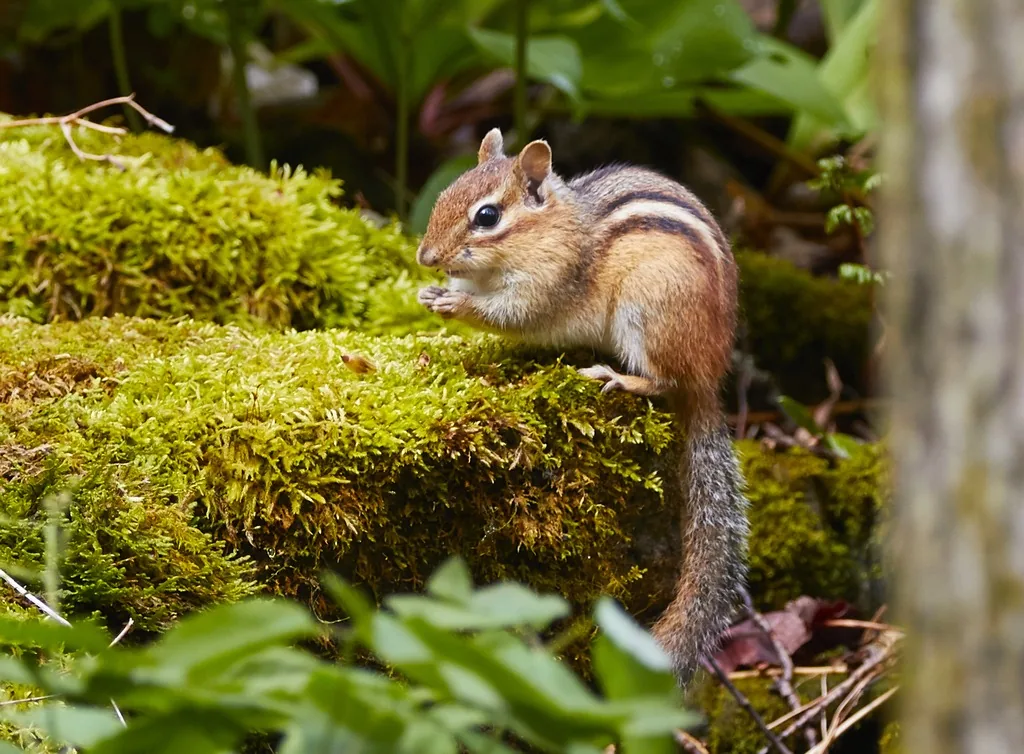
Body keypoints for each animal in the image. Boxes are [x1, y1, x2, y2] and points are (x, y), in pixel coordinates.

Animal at [415, 128, 749, 685]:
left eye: (487, 216)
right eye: (443, 195)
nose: (424, 256)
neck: (549, 228)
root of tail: (711, 375)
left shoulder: (547, 284)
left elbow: (514, 315)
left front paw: (455, 304)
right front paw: (432, 296)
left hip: (649, 310)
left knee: (663, 381)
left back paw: (618, 377)